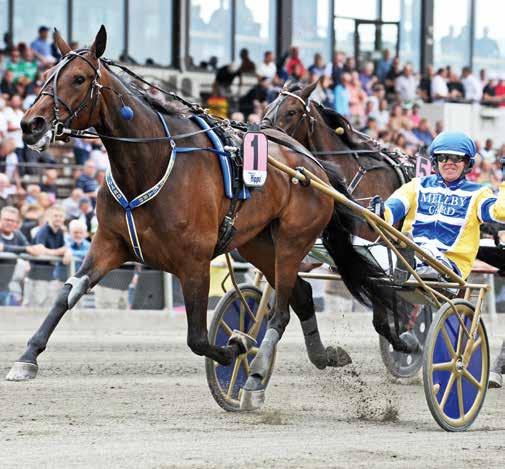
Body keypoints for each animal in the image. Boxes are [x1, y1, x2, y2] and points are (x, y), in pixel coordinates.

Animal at [5, 26, 388, 410]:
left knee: (280, 312)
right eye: (45, 74)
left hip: (294, 239)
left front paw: (238, 346)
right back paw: (324, 356)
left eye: (79, 78)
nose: (30, 124)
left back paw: (255, 377)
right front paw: (26, 358)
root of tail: (313, 164)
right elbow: (66, 295)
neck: (151, 162)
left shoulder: (195, 262)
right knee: (303, 294)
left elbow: (198, 338)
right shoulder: (109, 244)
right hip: (259, 244)